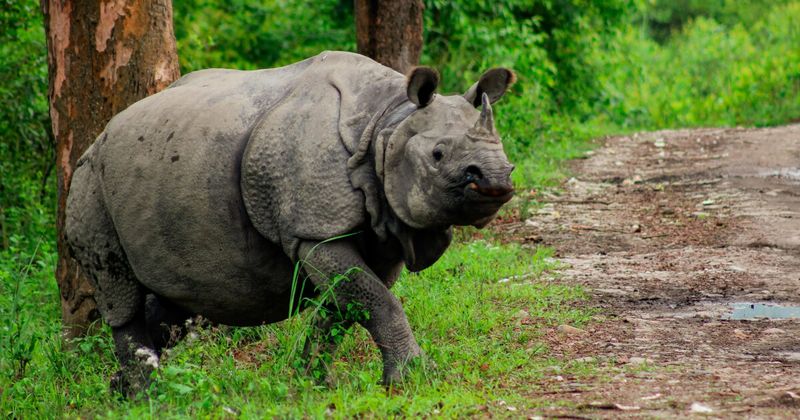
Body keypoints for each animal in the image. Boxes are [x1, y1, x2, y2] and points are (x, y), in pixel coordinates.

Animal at [65, 51, 515, 395]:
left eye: (505, 152)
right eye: (438, 154)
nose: (496, 180)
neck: (386, 124)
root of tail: (99, 137)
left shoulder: (380, 233)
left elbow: (347, 305)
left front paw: (314, 382)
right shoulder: (314, 233)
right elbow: (377, 301)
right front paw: (413, 380)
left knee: (170, 301)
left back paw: (121, 391)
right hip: (89, 183)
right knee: (119, 291)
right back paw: (147, 395)